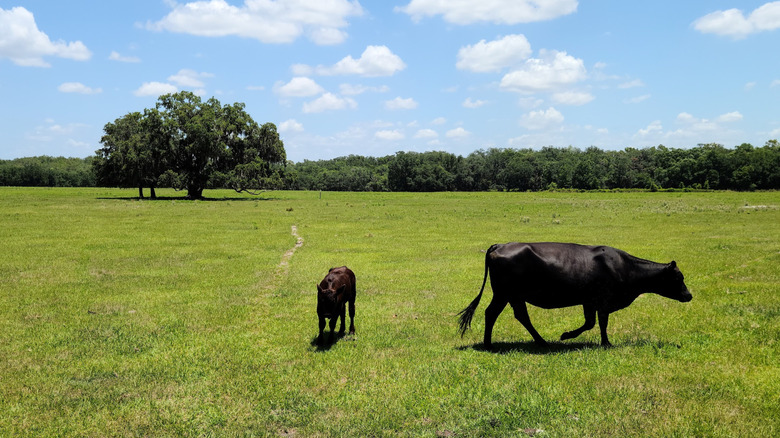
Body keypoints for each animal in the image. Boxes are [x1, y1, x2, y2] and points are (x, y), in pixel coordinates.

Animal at [458, 242, 692, 348]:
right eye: (678, 277)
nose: (689, 295)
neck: (625, 267)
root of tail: (501, 245)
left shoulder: (589, 301)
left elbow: (590, 323)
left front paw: (567, 335)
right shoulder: (603, 300)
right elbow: (601, 323)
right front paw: (604, 343)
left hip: (515, 296)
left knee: (521, 316)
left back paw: (542, 342)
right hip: (504, 293)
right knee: (492, 313)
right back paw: (488, 344)